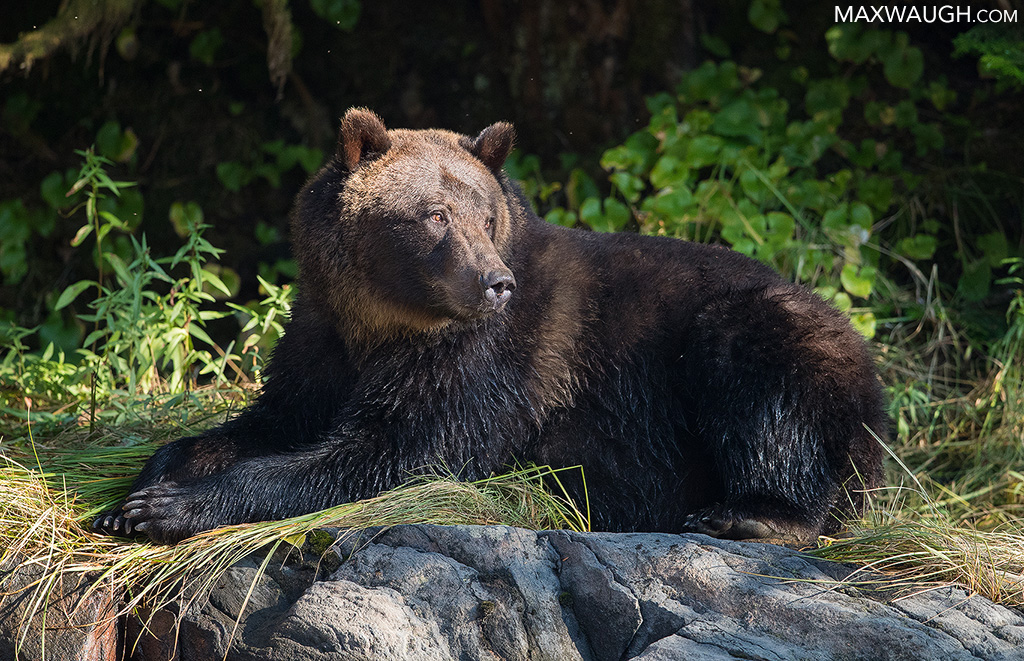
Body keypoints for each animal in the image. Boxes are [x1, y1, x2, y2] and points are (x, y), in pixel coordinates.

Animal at [94, 108, 887, 545]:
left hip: (771, 335)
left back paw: (751, 514)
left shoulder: (487, 362)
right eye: (434, 214)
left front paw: (168, 507)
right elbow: (275, 416)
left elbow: (394, 450)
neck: (384, 323)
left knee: (765, 386)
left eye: (483, 214)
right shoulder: (320, 340)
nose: (495, 282)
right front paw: (144, 485)